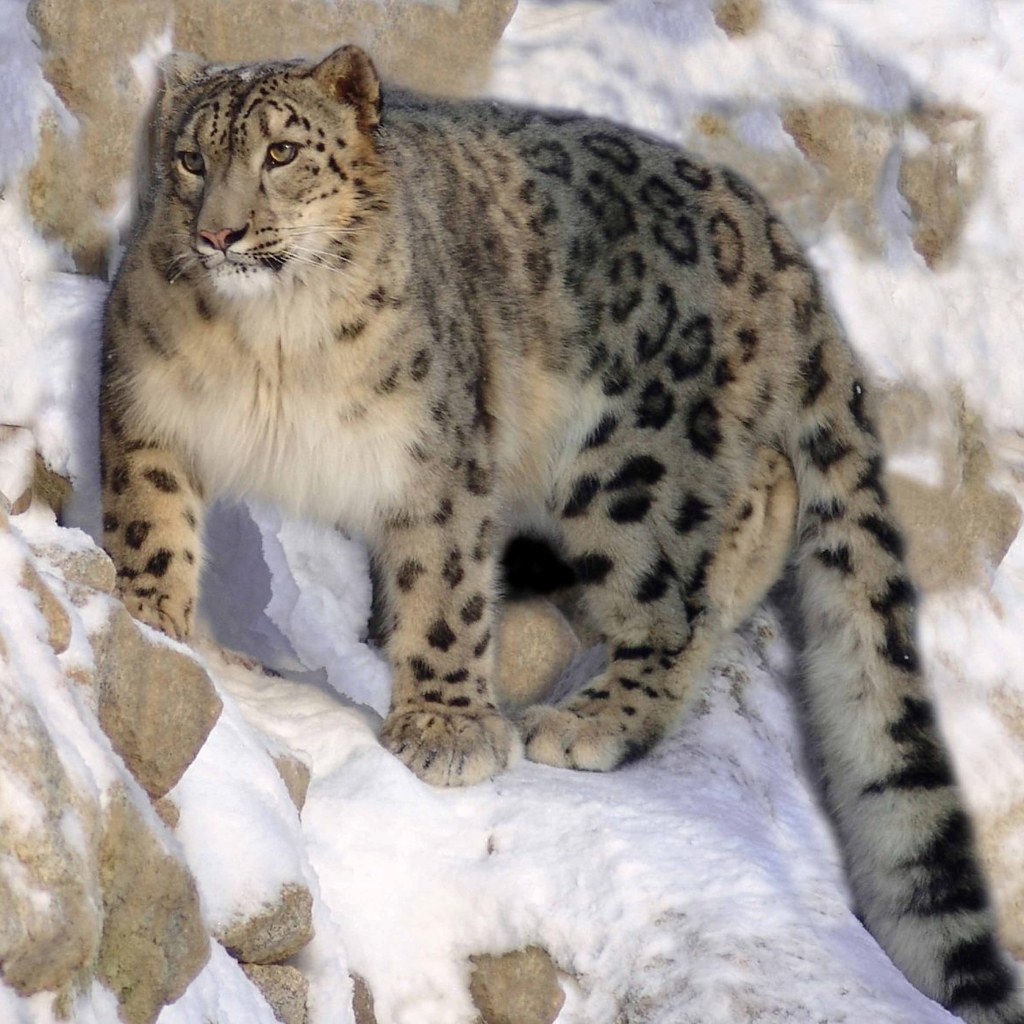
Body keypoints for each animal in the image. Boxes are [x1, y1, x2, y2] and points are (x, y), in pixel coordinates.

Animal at [99, 44, 1023, 1023]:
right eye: (191, 159)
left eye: (281, 153)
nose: (221, 235)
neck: (270, 347)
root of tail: (772, 233)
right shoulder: (148, 405)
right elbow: (150, 519)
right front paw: (152, 616)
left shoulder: (438, 455)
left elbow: (445, 590)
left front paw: (447, 728)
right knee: (762, 499)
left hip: (633, 470)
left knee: (681, 590)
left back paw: (592, 720)